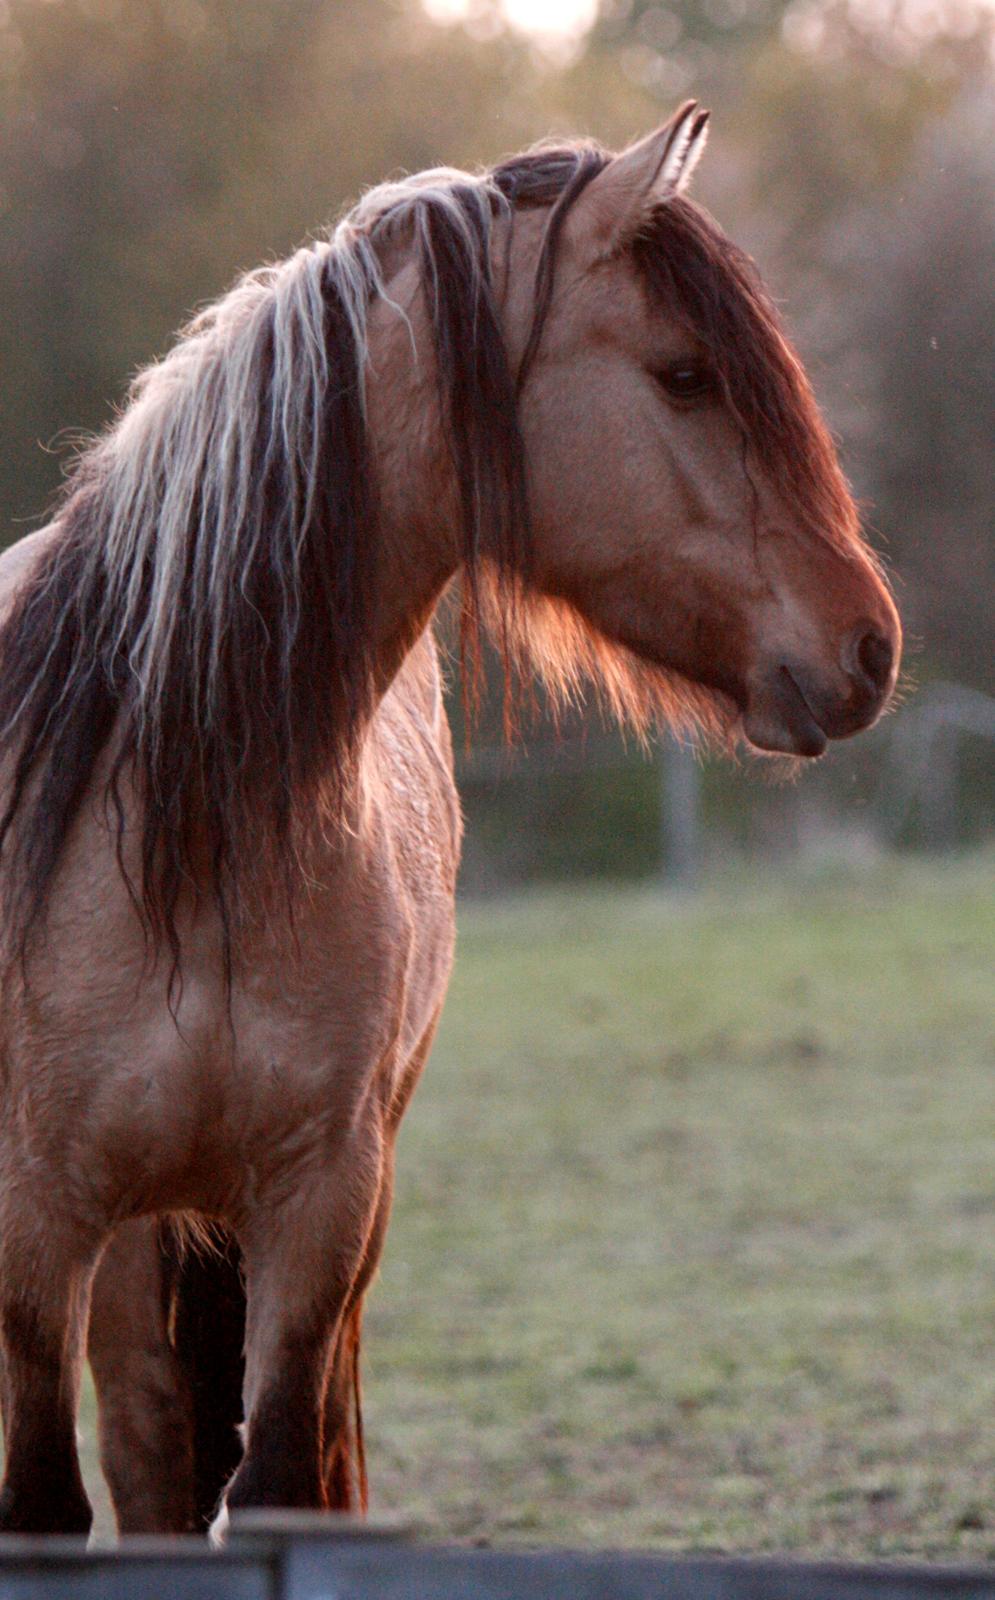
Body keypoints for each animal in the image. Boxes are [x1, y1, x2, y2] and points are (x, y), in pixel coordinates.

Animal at [0, 103, 902, 1536]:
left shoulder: (321, 1205)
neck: (176, 840)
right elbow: (40, 1501)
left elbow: (277, 1484)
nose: (867, 644)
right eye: (685, 374)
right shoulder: (37, 1219)